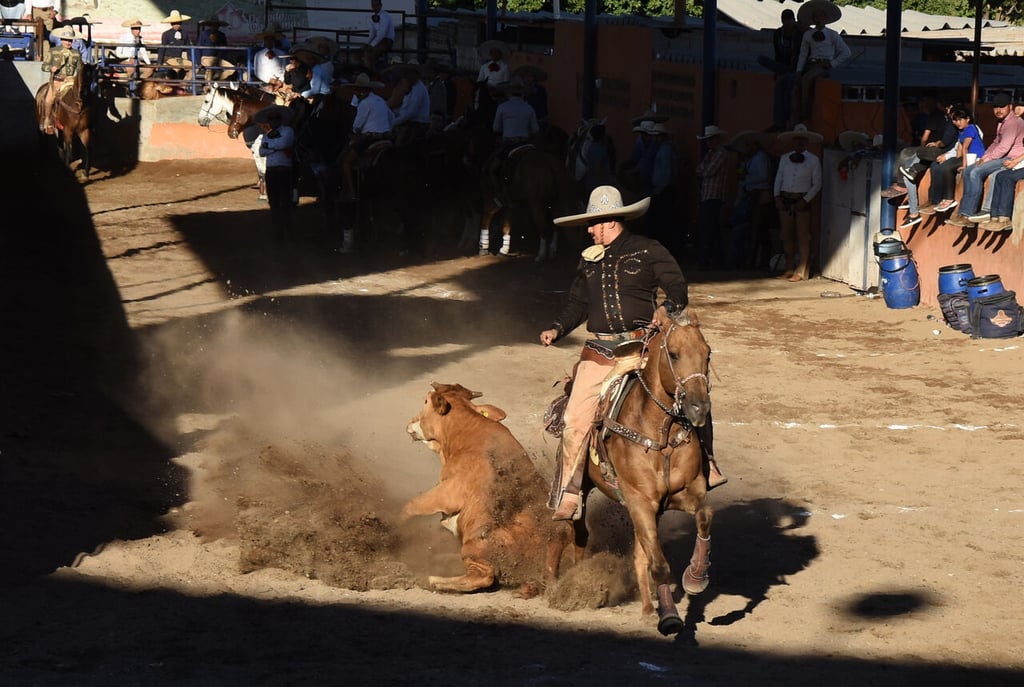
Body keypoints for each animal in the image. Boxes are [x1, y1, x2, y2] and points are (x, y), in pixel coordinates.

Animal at [581, 309, 716, 638]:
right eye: (674, 354)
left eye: (707, 354)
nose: (699, 408)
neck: (660, 433)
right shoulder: (640, 500)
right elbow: (658, 564)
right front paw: (669, 616)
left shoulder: (683, 493)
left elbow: (705, 516)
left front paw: (696, 577)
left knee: (640, 554)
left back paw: (646, 608)